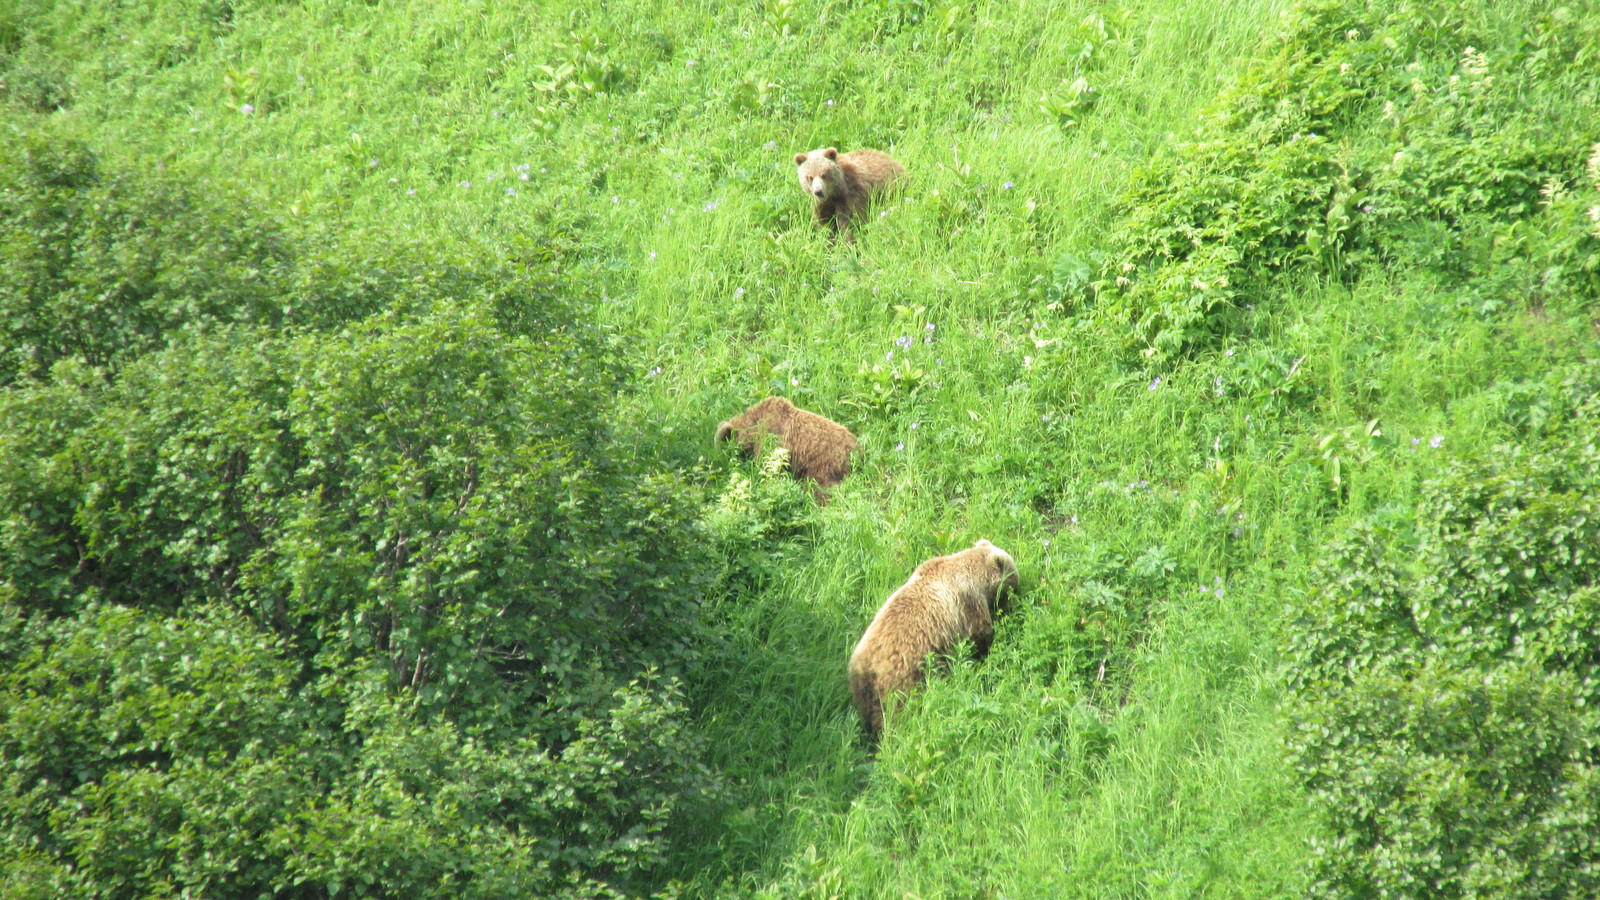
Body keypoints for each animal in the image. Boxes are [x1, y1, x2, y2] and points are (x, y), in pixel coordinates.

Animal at [844, 534, 1017, 739]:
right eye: (1014, 579)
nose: (1016, 596)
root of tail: (868, 670)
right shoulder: (968, 602)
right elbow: (979, 635)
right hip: (905, 678)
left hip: (863, 689)